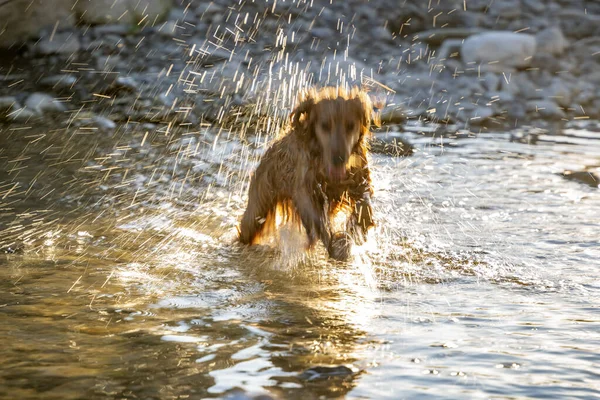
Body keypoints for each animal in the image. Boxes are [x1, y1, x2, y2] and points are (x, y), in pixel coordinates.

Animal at [238, 86, 376, 260]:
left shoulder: (358, 180)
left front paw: (355, 231)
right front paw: (335, 242)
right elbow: (317, 217)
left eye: (350, 125)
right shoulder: (304, 188)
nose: (338, 158)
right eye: (325, 126)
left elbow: (364, 205)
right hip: (258, 205)